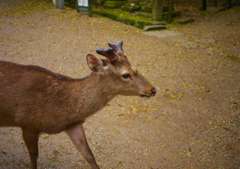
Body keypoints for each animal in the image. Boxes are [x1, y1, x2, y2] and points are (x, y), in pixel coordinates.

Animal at [0, 40, 157, 168]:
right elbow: (33, 157)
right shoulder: (27, 124)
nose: (153, 89)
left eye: (136, 68)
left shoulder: (73, 125)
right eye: (125, 74)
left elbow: (89, 155)